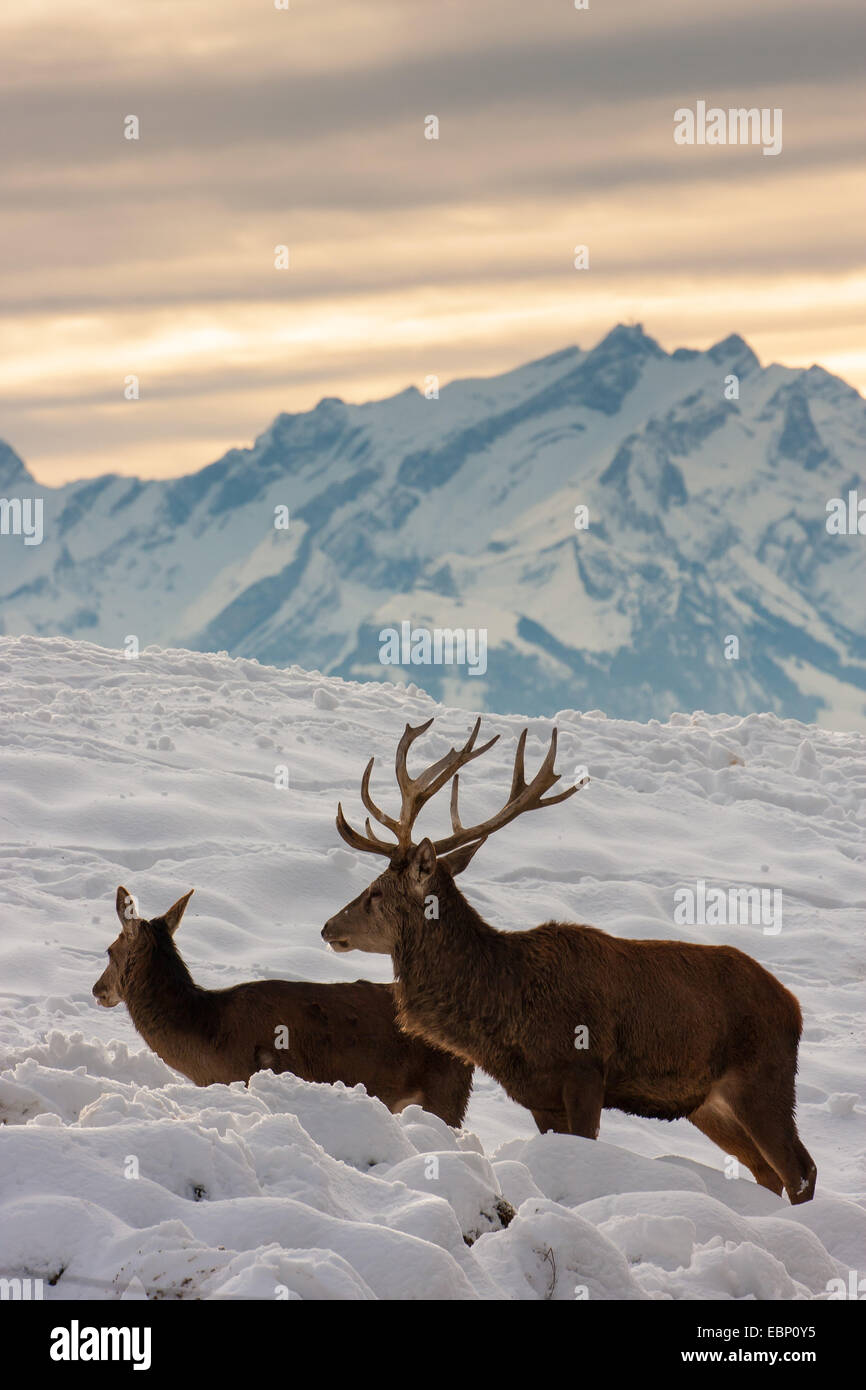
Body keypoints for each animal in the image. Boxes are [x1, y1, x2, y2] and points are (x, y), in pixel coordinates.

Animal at [322, 718, 817, 1204]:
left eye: (375, 893)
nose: (327, 927)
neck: (507, 1010)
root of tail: (794, 1006)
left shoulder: (585, 1072)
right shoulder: (539, 1097)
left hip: (764, 1080)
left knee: (801, 1170)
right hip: (709, 1105)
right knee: (767, 1173)